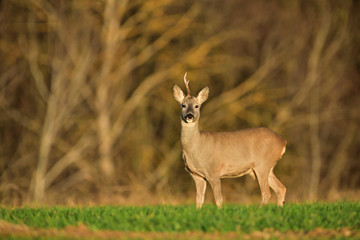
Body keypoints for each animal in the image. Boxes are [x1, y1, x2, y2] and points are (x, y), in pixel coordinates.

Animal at [172, 73, 286, 208]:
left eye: (197, 106)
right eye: (183, 105)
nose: (189, 116)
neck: (196, 148)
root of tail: (283, 141)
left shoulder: (213, 170)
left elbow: (218, 199)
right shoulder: (196, 175)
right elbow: (199, 201)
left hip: (263, 164)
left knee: (267, 192)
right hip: (264, 167)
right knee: (281, 188)